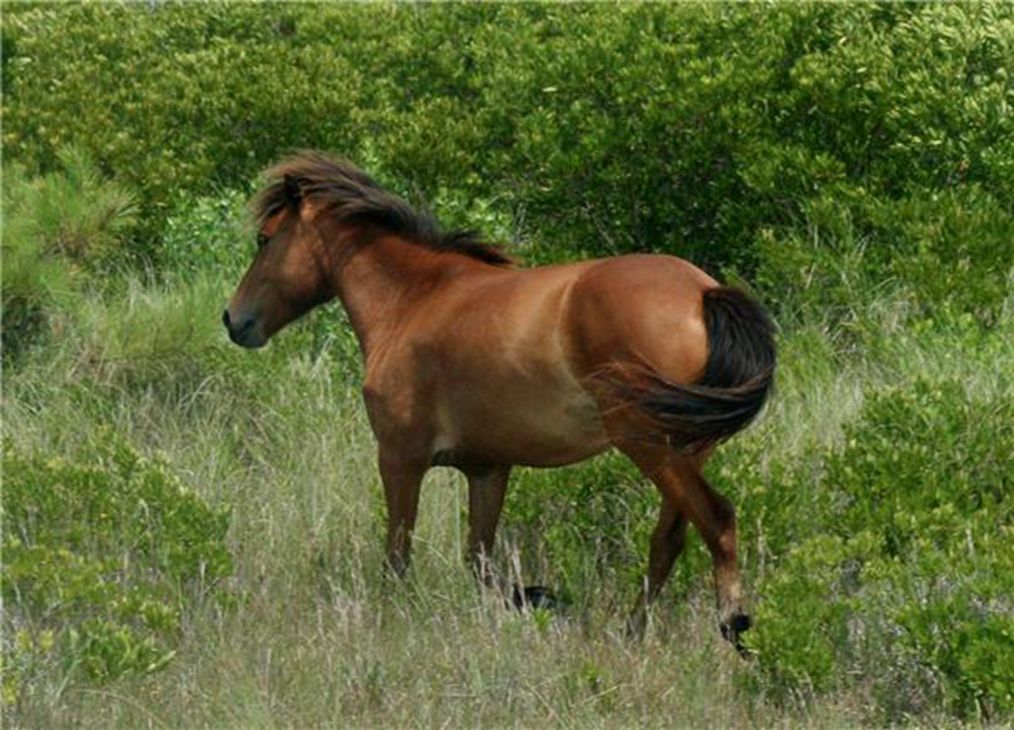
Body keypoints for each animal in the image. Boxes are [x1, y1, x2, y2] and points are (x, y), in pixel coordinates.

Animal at [224, 151, 774, 648]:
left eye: (265, 238)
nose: (234, 320)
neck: (414, 300)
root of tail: (704, 293)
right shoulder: (487, 469)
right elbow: (479, 562)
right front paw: (533, 598)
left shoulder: (400, 458)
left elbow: (399, 554)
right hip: (685, 449)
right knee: (669, 539)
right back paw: (630, 634)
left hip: (647, 442)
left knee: (717, 519)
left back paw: (732, 622)